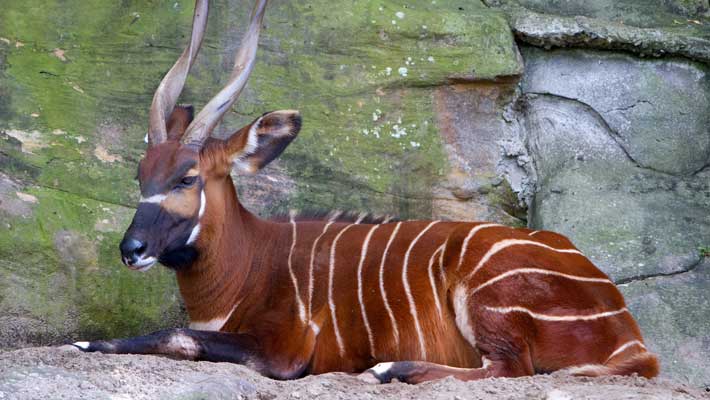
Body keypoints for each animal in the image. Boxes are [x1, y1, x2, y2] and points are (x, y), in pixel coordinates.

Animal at [72, 0, 660, 382]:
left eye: (187, 178)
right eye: (141, 174)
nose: (131, 249)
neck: (250, 260)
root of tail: (629, 331)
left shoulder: (286, 349)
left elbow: (177, 335)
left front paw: (84, 340)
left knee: (510, 370)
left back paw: (386, 368)